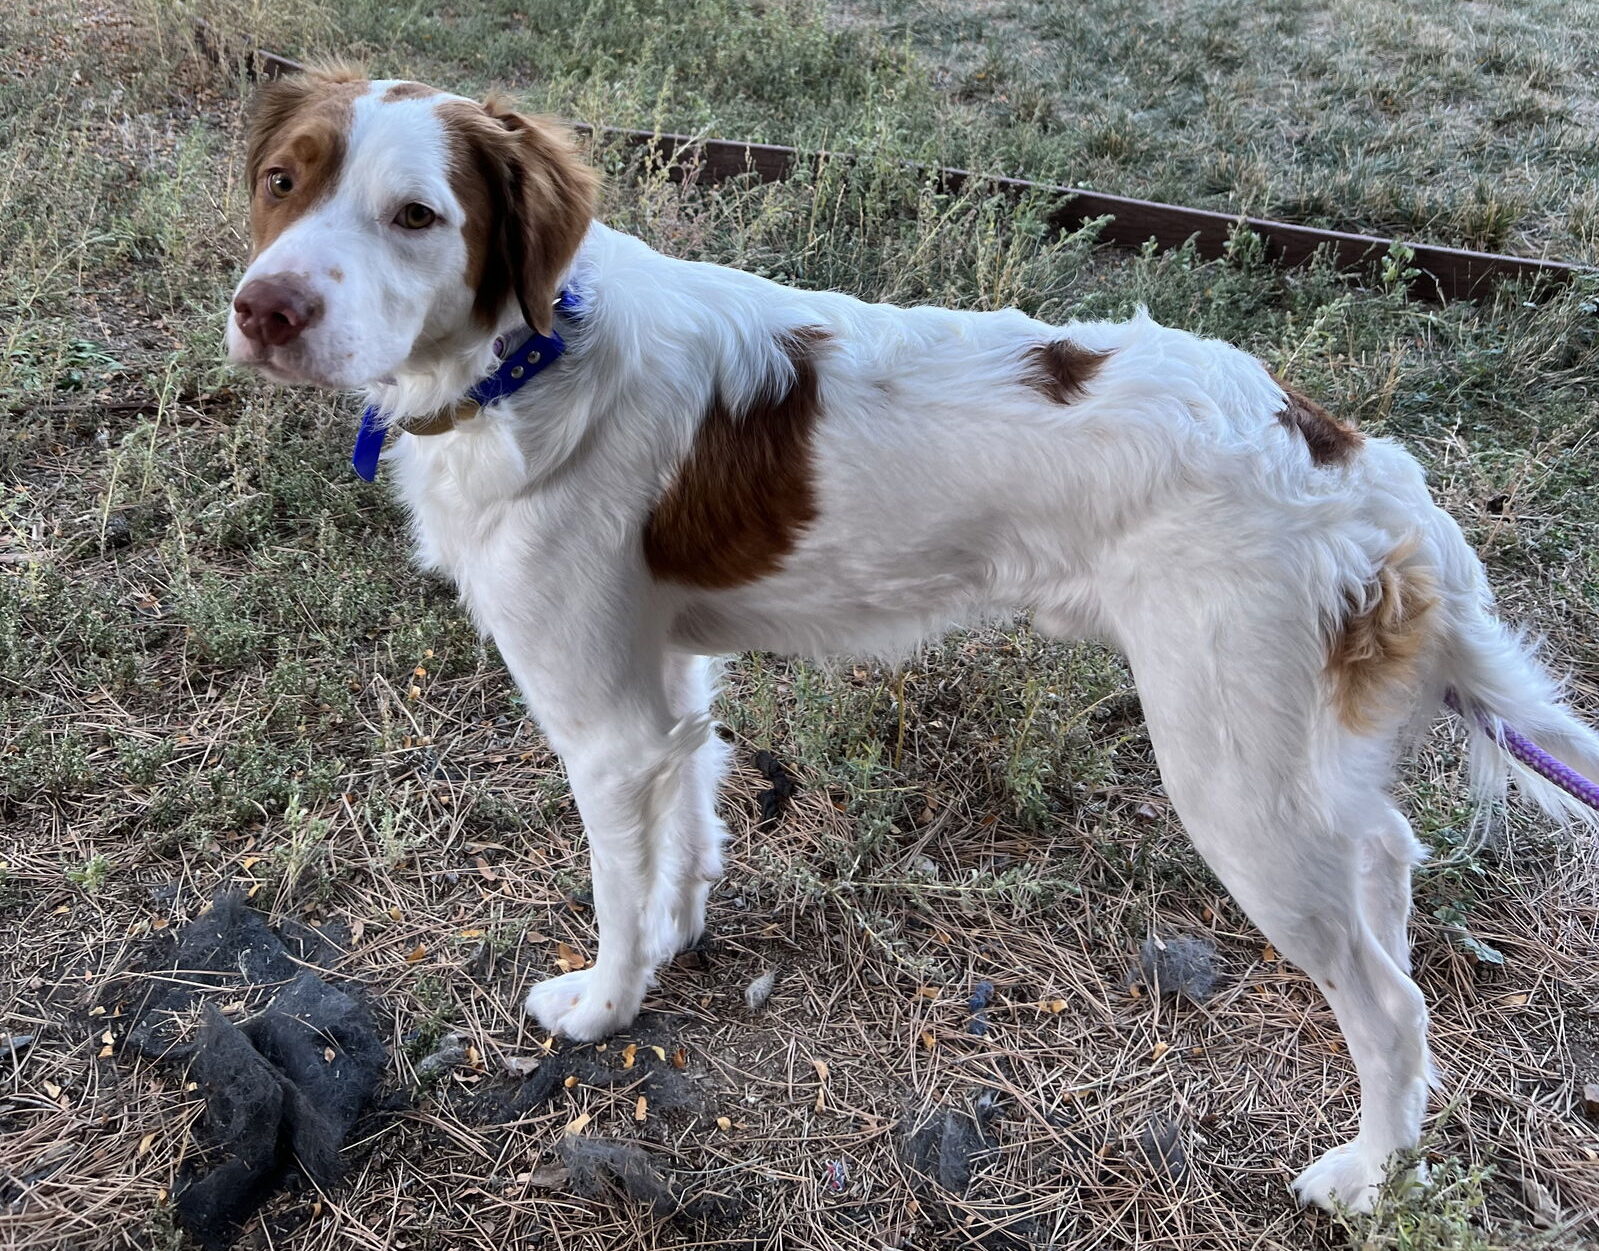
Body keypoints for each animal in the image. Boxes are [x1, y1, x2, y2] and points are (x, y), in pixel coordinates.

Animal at [225, 68, 1599, 1215]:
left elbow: (618, 889)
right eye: (285, 182)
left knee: (1390, 1005)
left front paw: (606, 1007)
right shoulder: (668, 680)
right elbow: (687, 836)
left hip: (1234, 783)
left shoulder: (604, 727)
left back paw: (1369, 1176)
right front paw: (677, 942)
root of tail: (1353, 462)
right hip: (1301, 762)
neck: (536, 351)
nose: (264, 311)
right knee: (1391, 866)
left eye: (417, 216)